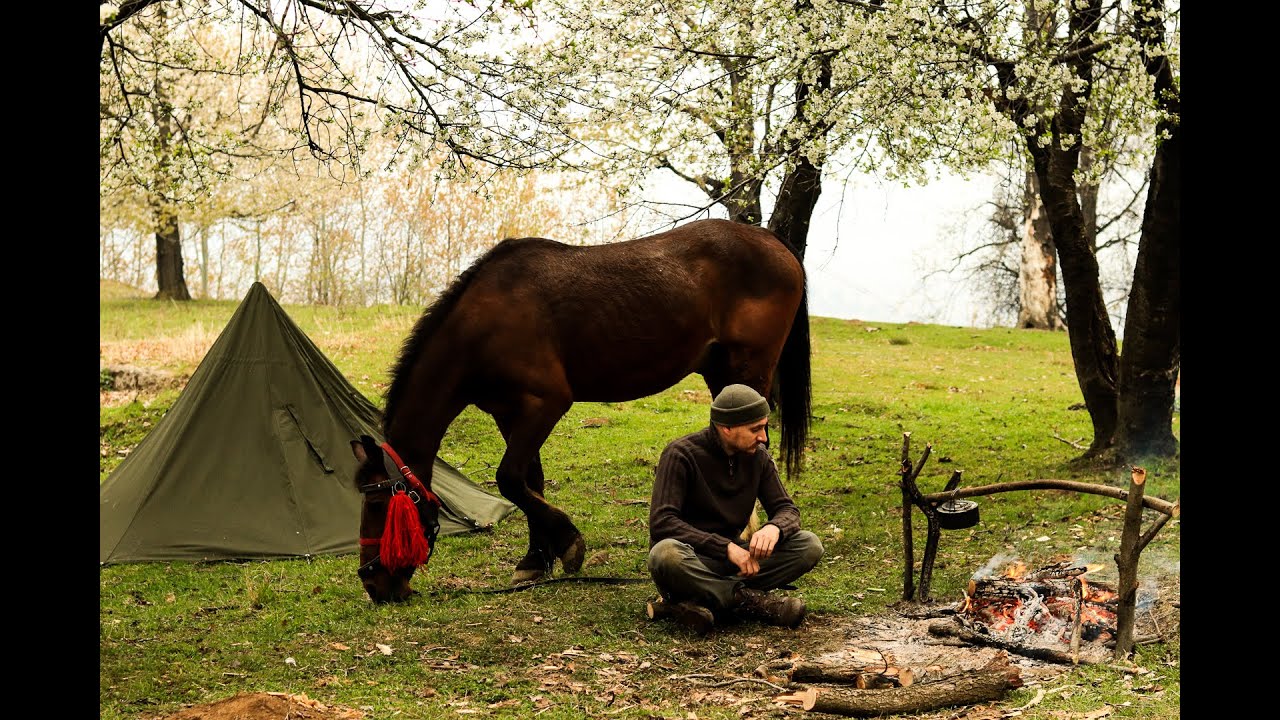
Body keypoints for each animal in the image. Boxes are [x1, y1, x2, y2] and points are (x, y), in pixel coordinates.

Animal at [349, 218, 812, 603]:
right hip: (722, 373)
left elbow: (510, 478)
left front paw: (569, 542)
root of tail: (771, 240)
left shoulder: (545, 404)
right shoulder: (509, 413)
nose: (373, 583)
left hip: (749, 368)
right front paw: (535, 559)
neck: (485, 322)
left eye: (378, 505)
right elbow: (529, 482)